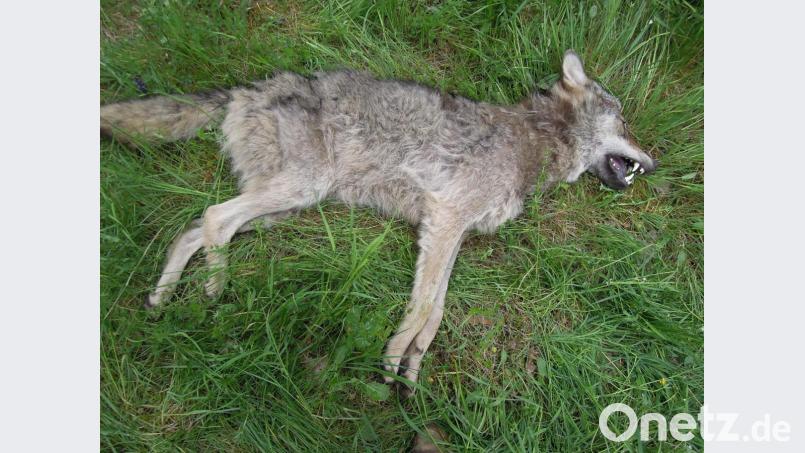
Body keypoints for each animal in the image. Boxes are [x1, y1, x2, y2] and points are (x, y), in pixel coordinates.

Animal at [101, 50, 656, 394]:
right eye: (626, 122)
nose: (653, 164)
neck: (536, 140)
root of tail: (248, 86)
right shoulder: (446, 220)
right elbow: (423, 305)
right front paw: (391, 358)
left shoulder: (446, 230)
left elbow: (435, 312)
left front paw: (412, 366)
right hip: (299, 191)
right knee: (215, 218)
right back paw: (213, 288)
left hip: (281, 208)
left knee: (195, 228)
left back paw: (162, 297)